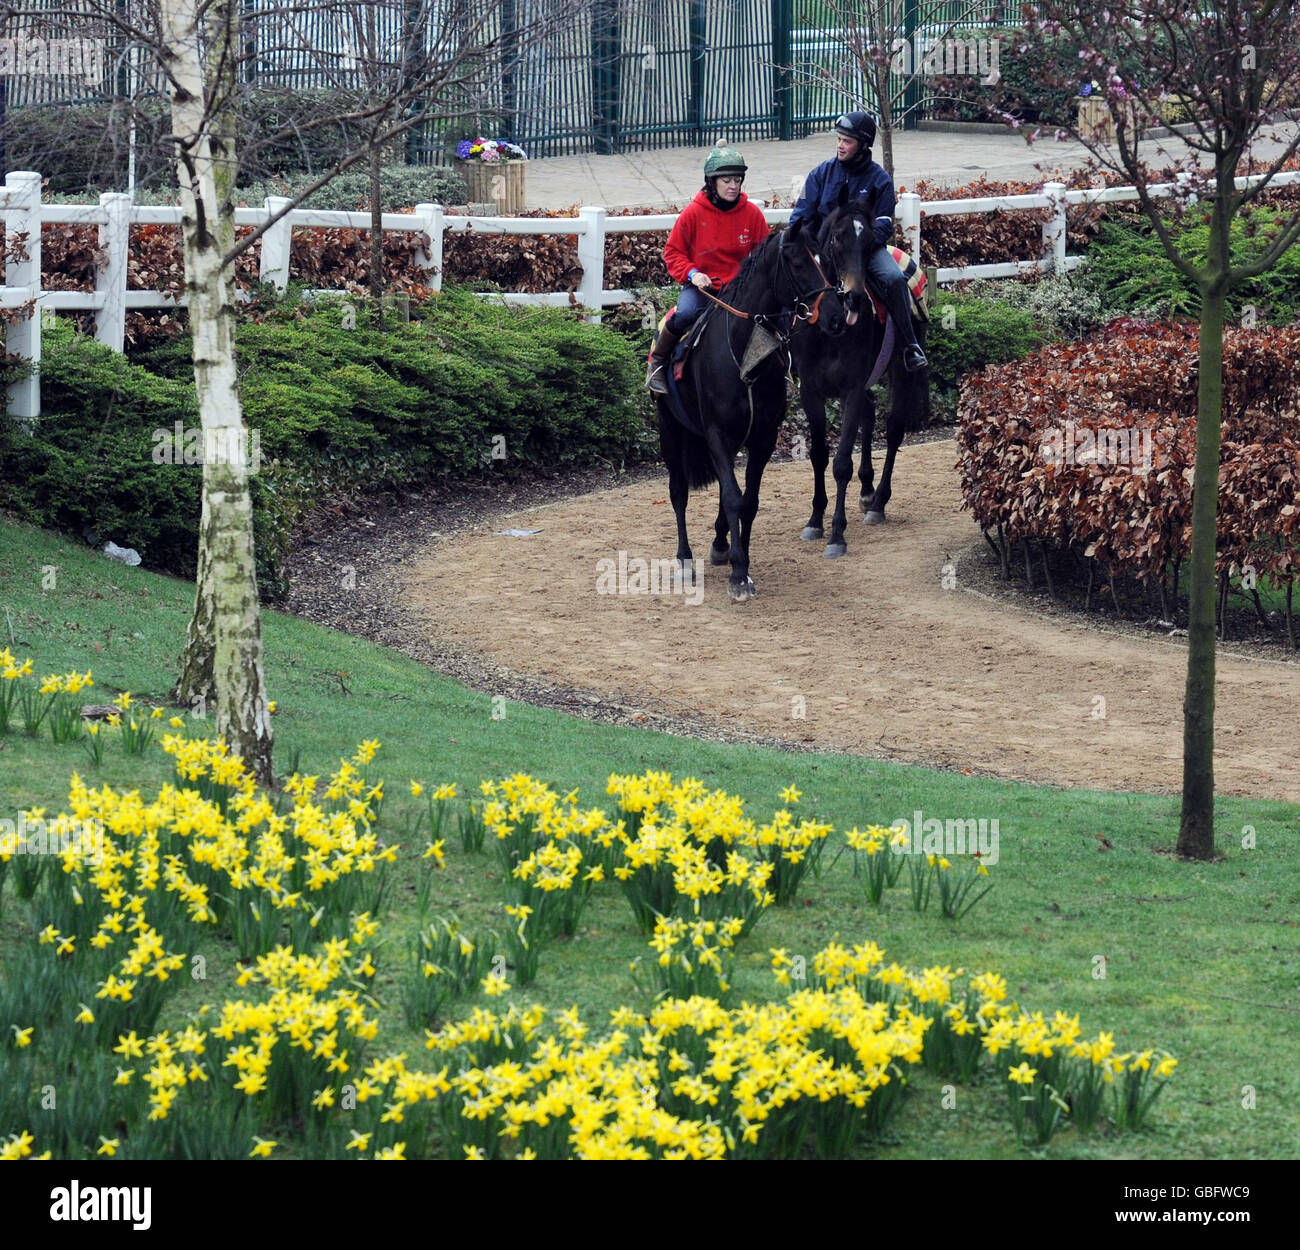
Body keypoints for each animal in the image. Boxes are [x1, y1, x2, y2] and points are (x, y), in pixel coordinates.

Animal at [655, 223, 847, 602]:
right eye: (798, 262)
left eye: (826, 259)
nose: (835, 316)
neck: (744, 353)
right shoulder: (716, 433)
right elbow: (732, 498)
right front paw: (738, 575)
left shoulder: (762, 437)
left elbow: (748, 501)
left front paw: (739, 560)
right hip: (671, 432)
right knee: (679, 491)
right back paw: (684, 560)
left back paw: (720, 544)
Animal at [785, 194, 930, 556]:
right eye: (836, 238)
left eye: (867, 242)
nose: (854, 295)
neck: (830, 329)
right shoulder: (811, 391)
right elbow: (819, 456)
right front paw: (815, 521)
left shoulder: (849, 388)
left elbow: (841, 464)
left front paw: (837, 534)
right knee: (870, 411)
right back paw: (866, 489)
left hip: (903, 370)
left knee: (893, 430)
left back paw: (878, 502)